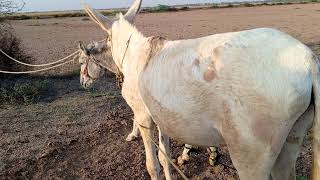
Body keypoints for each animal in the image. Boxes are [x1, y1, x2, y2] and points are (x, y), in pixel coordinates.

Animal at [84, 0, 320, 179]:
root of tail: (309, 61)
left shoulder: (143, 117)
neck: (137, 54)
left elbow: (153, 165)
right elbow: (165, 158)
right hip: (292, 137)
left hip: (250, 153)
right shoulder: (163, 116)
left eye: (107, 39)